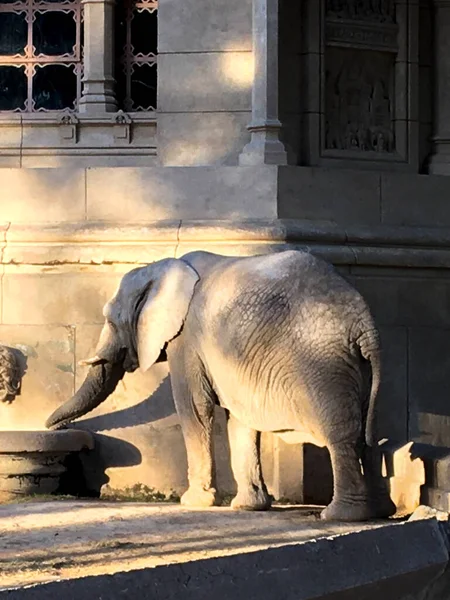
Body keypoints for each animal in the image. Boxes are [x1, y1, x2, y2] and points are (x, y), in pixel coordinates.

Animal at [45, 248, 394, 520]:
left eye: (109, 318)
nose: (55, 427)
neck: (165, 268)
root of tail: (364, 323)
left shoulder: (186, 340)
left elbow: (194, 409)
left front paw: (193, 502)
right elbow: (239, 419)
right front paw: (248, 507)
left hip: (323, 361)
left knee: (342, 433)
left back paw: (340, 515)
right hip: (355, 365)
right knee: (369, 431)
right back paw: (380, 512)